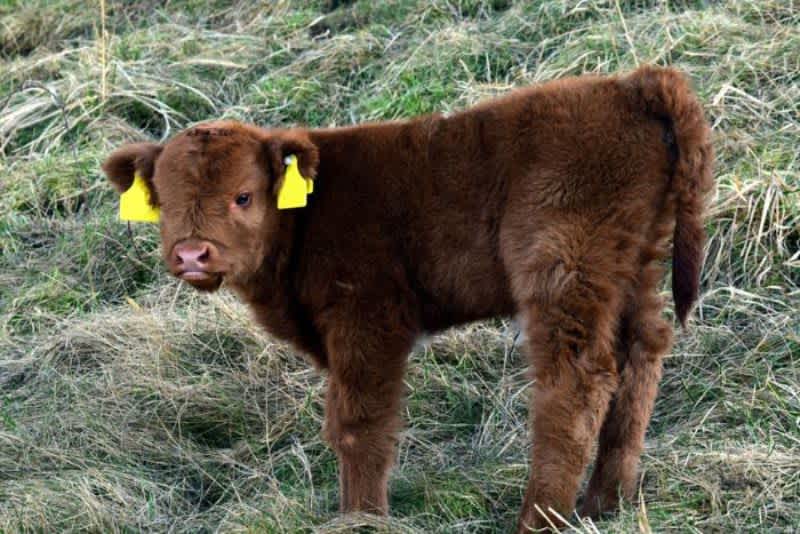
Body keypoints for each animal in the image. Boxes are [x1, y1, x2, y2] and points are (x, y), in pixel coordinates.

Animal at [104, 66, 712, 532]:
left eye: (243, 196)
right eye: (163, 201)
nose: (191, 254)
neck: (308, 214)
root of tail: (631, 85)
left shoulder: (366, 321)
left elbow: (359, 425)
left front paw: (361, 518)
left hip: (563, 268)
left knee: (576, 382)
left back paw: (540, 519)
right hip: (634, 267)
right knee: (641, 356)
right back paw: (606, 503)